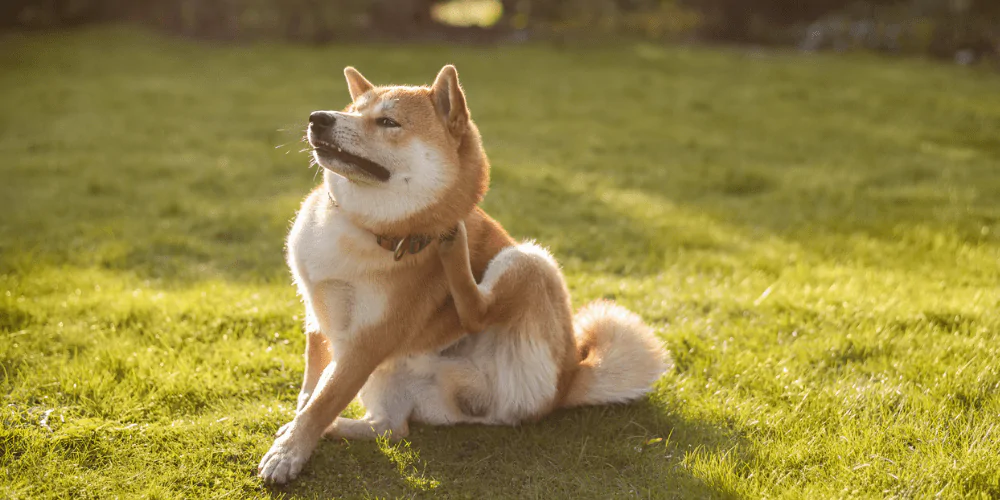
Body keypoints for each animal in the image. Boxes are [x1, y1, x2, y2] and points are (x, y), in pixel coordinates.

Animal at [258, 64, 668, 482]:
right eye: (352, 110)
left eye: (388, 122)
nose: (318, 119)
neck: (361, 228)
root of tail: (568, 381)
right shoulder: (319, 321)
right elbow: (311, 391)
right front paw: (295, 431)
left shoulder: (367, 342)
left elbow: (323, 400)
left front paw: (289, 453)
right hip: (393, 375)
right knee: (392, 428)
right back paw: (340, 428)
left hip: (531, 260)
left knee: (476, 313)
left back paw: (454, 246)